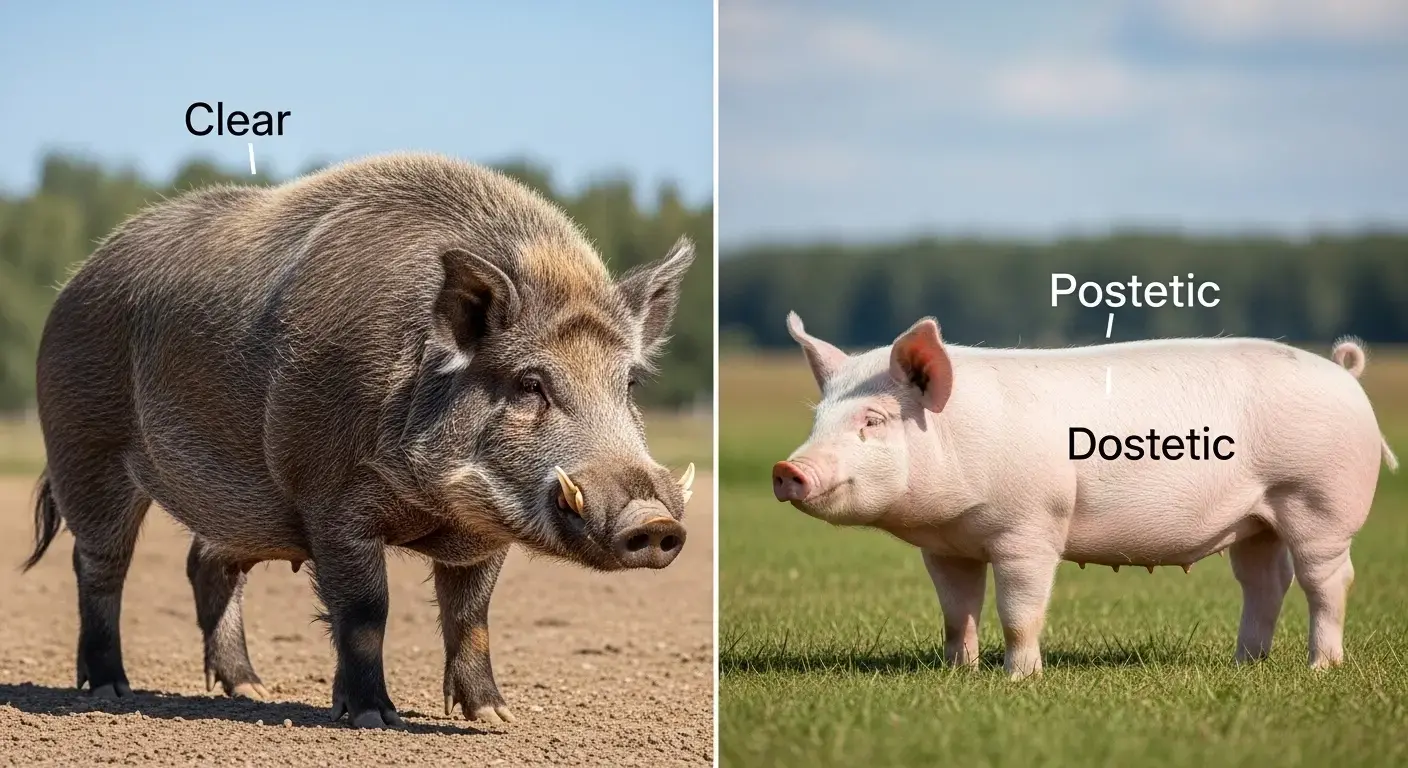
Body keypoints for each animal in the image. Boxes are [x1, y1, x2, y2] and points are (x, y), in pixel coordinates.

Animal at [22, 153, 698, 728]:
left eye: (629, 383)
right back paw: (112, 691)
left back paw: (252, 691)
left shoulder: (481, 534)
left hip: (235, 505)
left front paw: (495, 719)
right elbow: (367, 610)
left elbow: (471, 614)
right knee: (99, 565)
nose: (655, 520)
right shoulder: (331, 499)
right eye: (531, 383)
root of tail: (77, 279)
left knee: (206, 563)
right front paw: (374, 717)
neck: (431, 505)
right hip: (84, 447)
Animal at [773, 312, 1398, 679]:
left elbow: (1018, 610)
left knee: (1328, 580)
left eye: (873, 420)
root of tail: (1347, 377)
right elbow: (956, 611)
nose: (786, 468)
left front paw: (1018, 679)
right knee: (1266, 581)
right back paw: (1244, 664)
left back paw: (1321, 670)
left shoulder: (1029, 527)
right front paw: (958, 673)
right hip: (1257, 519)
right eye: (819, 417)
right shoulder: (946, 547)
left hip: (1318, 501)